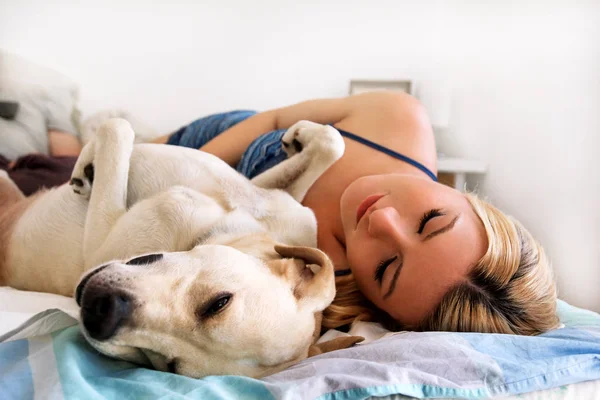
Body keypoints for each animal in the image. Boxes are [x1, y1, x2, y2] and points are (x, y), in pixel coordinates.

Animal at [0, 119, 360, 378]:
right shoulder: (275, 202)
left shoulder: (99, 244)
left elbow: (117, 128)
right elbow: (332, 142)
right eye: (218, 303)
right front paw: (301, 137)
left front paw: (91, 161)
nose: (100, 311)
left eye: (167, 366)